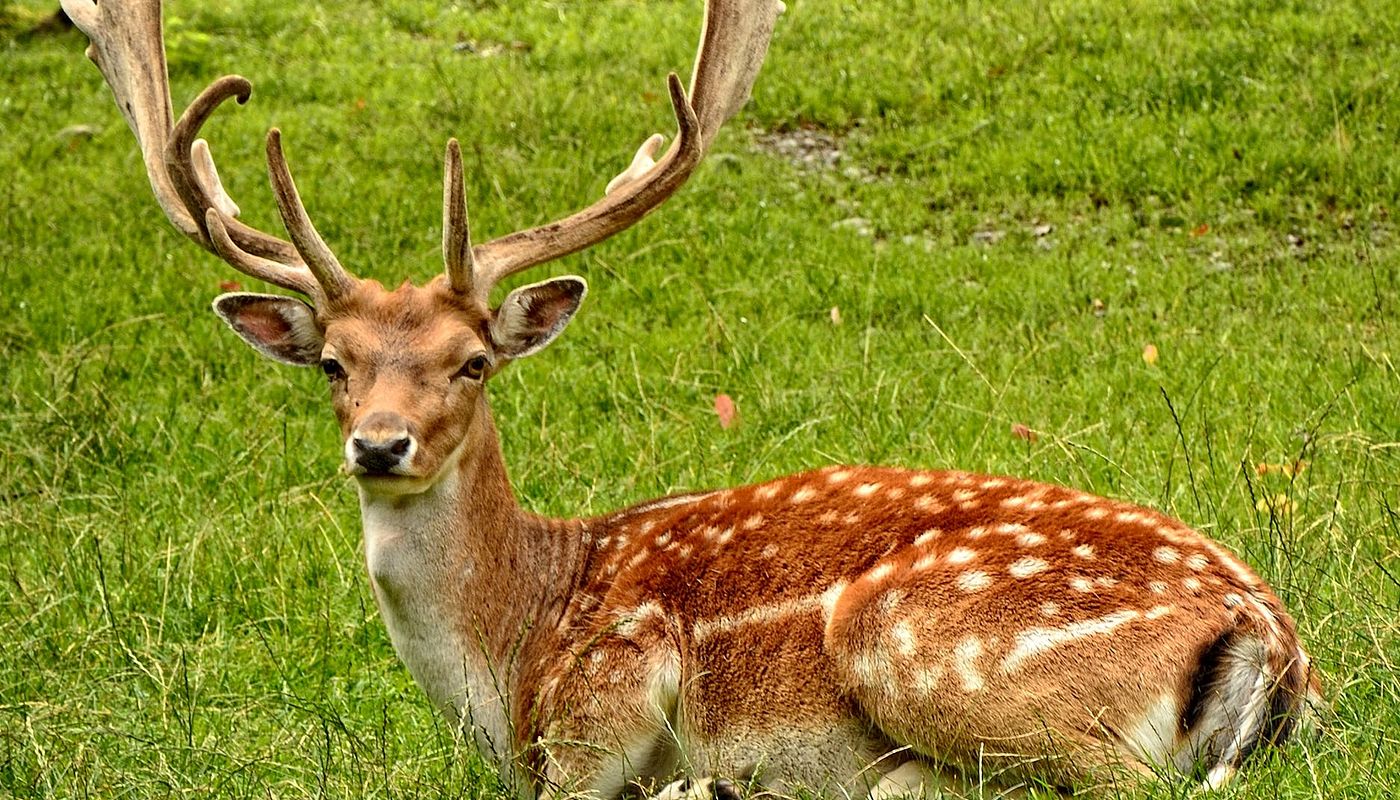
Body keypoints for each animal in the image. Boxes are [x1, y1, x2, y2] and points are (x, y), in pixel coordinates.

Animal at [61, 0, 1321, 796]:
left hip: (921, 641)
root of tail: (1268, 634)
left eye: (472, 360)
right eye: (334, 361)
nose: (381, 444)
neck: (508, 650)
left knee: (1110, 781)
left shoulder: (609, 688)